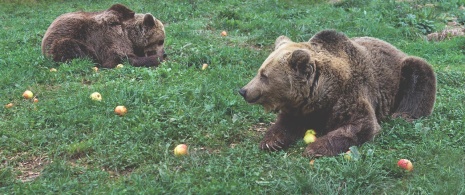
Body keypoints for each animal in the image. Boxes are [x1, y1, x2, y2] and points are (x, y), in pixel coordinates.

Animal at [239, 29, 436, 158]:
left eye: (264, 76)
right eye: (260, 71)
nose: (243, 91)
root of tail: (397, 48)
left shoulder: (350, 95)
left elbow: (360, 125)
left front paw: (314, 148)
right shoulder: (300, 108)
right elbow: (285, 123)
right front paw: (271, 141)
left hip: (400, 73)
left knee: (419, 71)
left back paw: (403, 114)